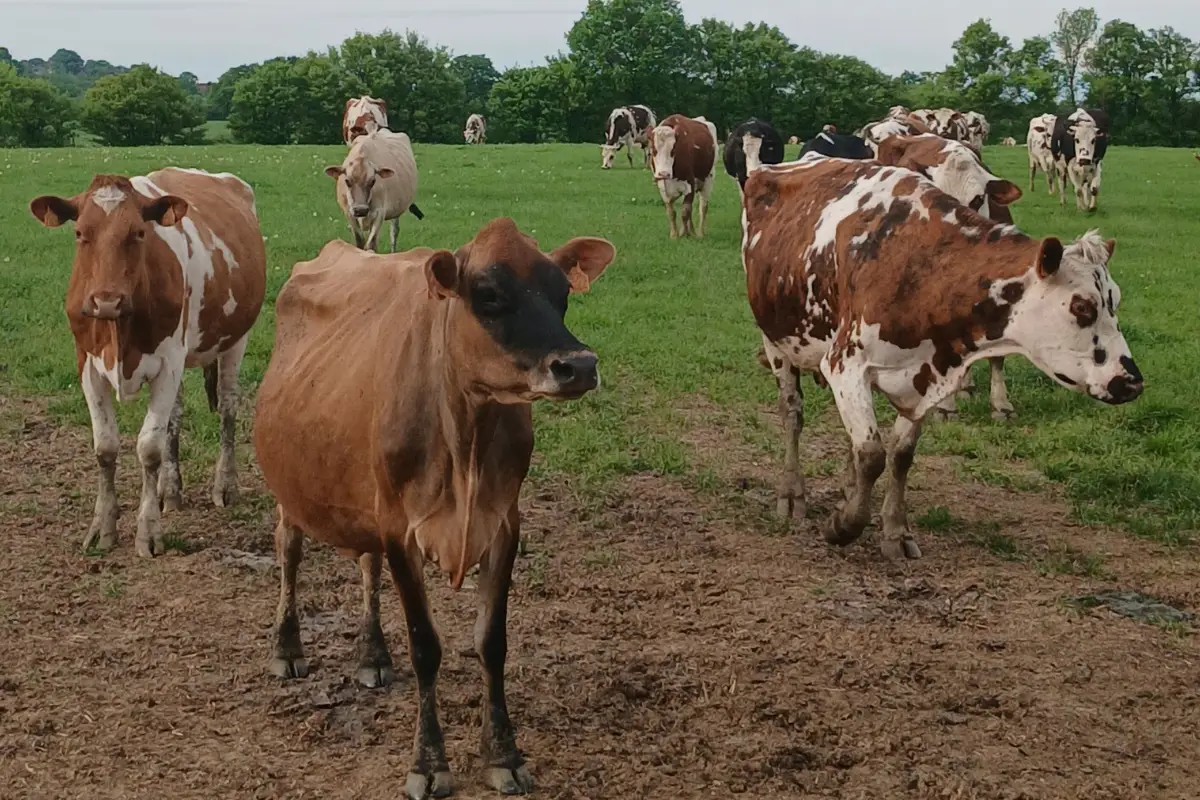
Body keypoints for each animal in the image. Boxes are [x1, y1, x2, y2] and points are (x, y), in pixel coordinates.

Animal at [28, 169, 266, 557]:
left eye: (139, 232)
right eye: (80, 234)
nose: (106, 301)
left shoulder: (168, 364)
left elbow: (149, 448)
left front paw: (148, 531)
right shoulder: (88, 366)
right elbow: (106, 447)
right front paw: (103, 527)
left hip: (235, 340)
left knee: (228, 408)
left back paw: (225, 486)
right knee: (176, 417)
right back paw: (170, 490)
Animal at [254, 217, 616, 798]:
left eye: (563, 294)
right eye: (488, 294)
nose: (579, 365)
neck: (465, 436)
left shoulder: (504, 523)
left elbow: (492, 641)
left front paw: (504, 754)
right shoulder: (401, 529)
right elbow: (427, 647)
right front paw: (429, 764)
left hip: (366, 497)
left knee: (367, 564)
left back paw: (373, 655)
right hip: (293, 490)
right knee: (288, 549)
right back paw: (288, 649)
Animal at [742, 155, 1141, 559]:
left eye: (1116, 300)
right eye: (1083, 306)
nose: (1131, 381)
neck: (923, 267)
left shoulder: (925, 377)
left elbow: (900, 454)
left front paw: (894, 530)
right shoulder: (845, 364)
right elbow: (871, 453)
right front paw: (844, 526)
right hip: (776, 343)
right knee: (793, 414)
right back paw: (792, 493)